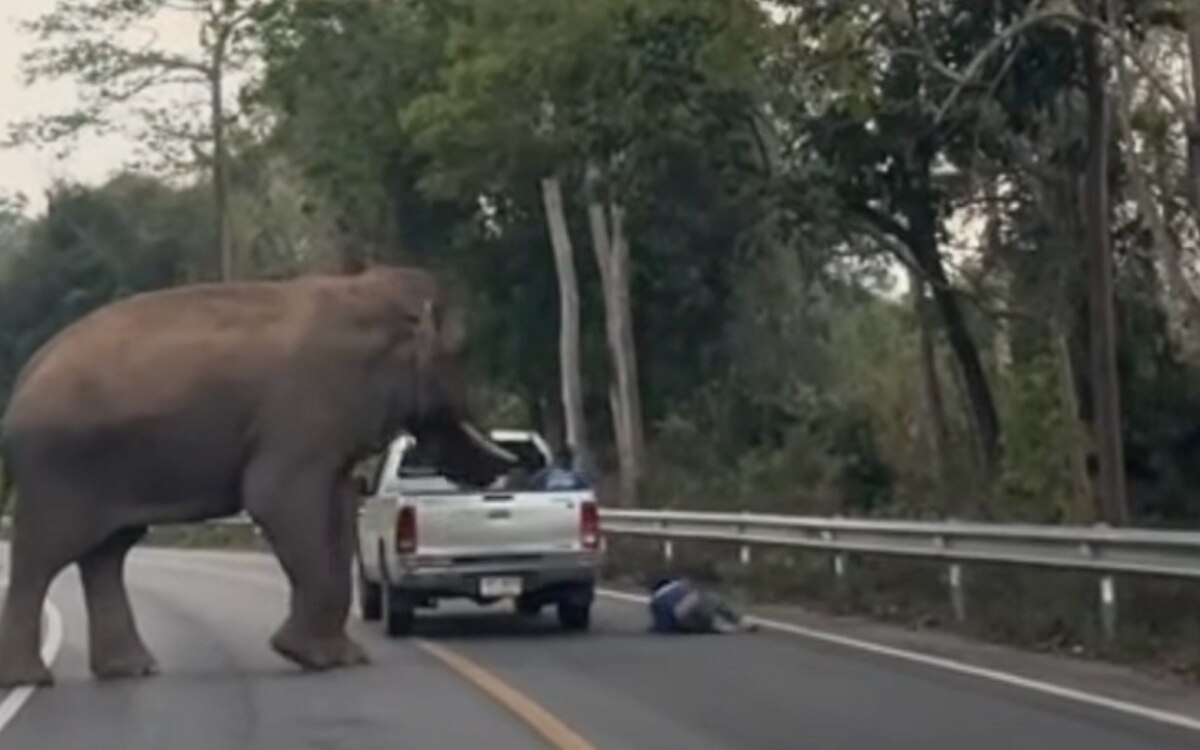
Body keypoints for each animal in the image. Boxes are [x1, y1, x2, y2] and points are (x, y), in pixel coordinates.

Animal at [0, 262, 513, 686]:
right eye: (462, 355)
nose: (512, 473)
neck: (362, 291)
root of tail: (22, 380)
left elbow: (338, 504)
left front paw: (344, 658)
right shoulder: (304, 410)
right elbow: (277, 498)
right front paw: (313, 657)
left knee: (107, 552)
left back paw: (131, 670)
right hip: (59, 468)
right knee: (46, 553)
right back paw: (32, 680)